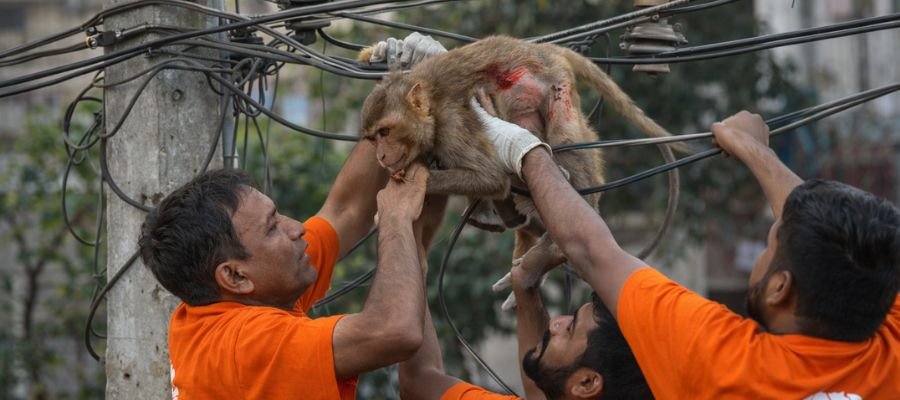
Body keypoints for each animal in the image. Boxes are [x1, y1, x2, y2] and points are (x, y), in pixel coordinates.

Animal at [359, 35, 681, 302]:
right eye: (373, 138)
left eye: (385, 132)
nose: (381, 156)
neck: (429, 108)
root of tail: (541, 48)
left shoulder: (452, 124)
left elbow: (490, 178)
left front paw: (409, 183)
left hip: (556, 85)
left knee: (564, 140)